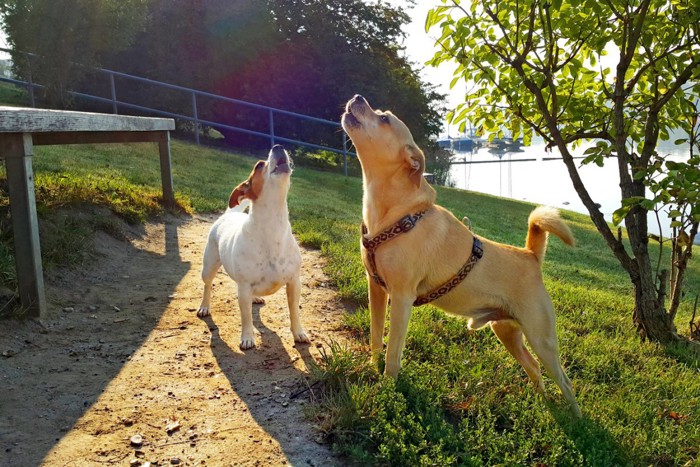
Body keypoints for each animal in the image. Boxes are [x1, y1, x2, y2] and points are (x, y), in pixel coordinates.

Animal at [196, 144, 308, 350]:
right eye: (258, 166)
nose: (278, 145)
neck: (273, 226)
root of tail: (229, 214)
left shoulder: (294, 282)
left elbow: (294, 311)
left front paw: (299, 333)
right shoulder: (244, 287)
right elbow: (246, 316)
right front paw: (247, 338)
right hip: (208, 267)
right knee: (207, 286)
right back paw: (204, 306)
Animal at [344, 94, 580, 416]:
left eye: (384, 119)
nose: (358, 97)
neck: (398, 215)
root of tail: (530, 256)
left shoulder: (402, 298)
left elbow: (393, 350)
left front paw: (387, 388)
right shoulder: (376, 290)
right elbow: (376, 336)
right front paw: (371, 368)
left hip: (541, 338)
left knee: (565, 382)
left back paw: (577, 421)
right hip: (507, 332)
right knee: (533, 368)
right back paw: (543, 404)